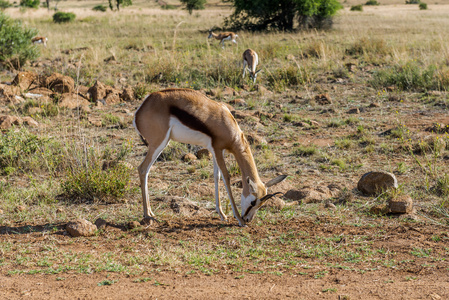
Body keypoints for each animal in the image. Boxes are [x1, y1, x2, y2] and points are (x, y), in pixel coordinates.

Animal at [134, 88, 288, 226]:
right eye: (253, 201)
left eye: (261, 204)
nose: (248, 219)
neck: (227, 124)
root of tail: (141, 108)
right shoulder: (218, 149)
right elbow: (226, 178)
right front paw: (238, 218)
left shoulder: (216, 152)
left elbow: (216, 177)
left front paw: (222, 215)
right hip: (159, 143)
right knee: (142, 169)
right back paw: (147, 215)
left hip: (161, 144)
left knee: (146, 171)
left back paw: (151, 212)